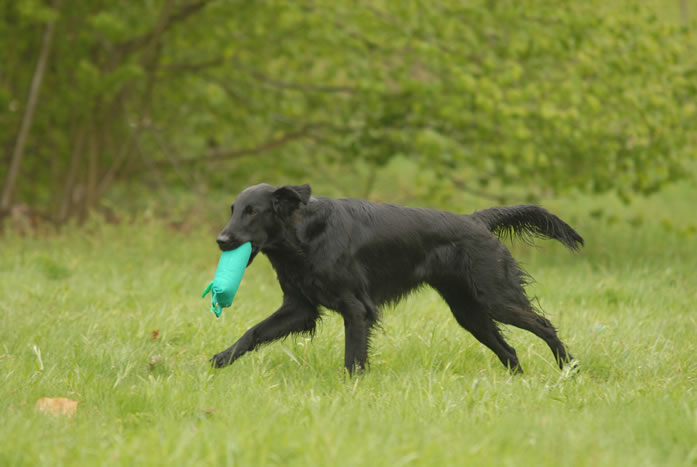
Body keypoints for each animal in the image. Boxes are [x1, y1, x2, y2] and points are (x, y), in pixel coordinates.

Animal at [211, 183, 583, 374]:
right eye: (232, 209)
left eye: (253, 211)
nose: (222, 240)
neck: (304, 238)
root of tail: (475, 220)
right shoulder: (299, 307)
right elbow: (253, 332)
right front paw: (221, 359)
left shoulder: (356, 307)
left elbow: (353, 357)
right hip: (469, 312)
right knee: (509, 350)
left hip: (496, 297)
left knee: (544, 325)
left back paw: (569, 368)